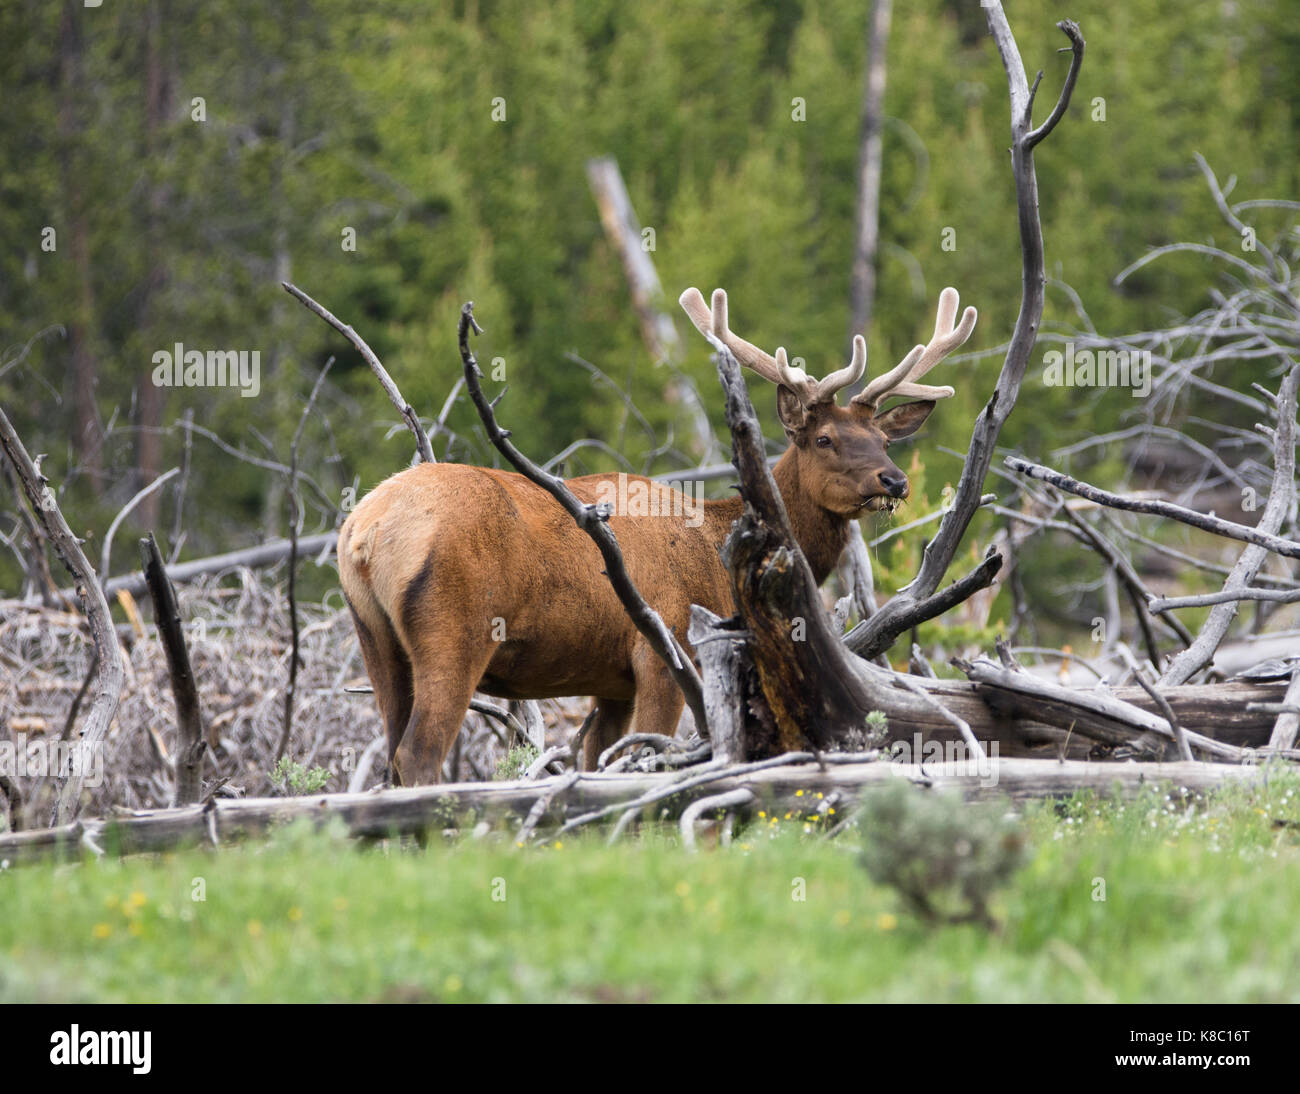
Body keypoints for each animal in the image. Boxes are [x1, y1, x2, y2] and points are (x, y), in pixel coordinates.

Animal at [338, 285, 977, 779]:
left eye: (885, 440)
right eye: (824, 439)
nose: (894, 480)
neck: (715, 548)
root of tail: (362, 535)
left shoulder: (612, 681)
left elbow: (598, 762)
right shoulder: (663, 647)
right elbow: (642, 757)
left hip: (375, 638)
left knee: (391, 754)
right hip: (456, 628)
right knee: (418, 754)